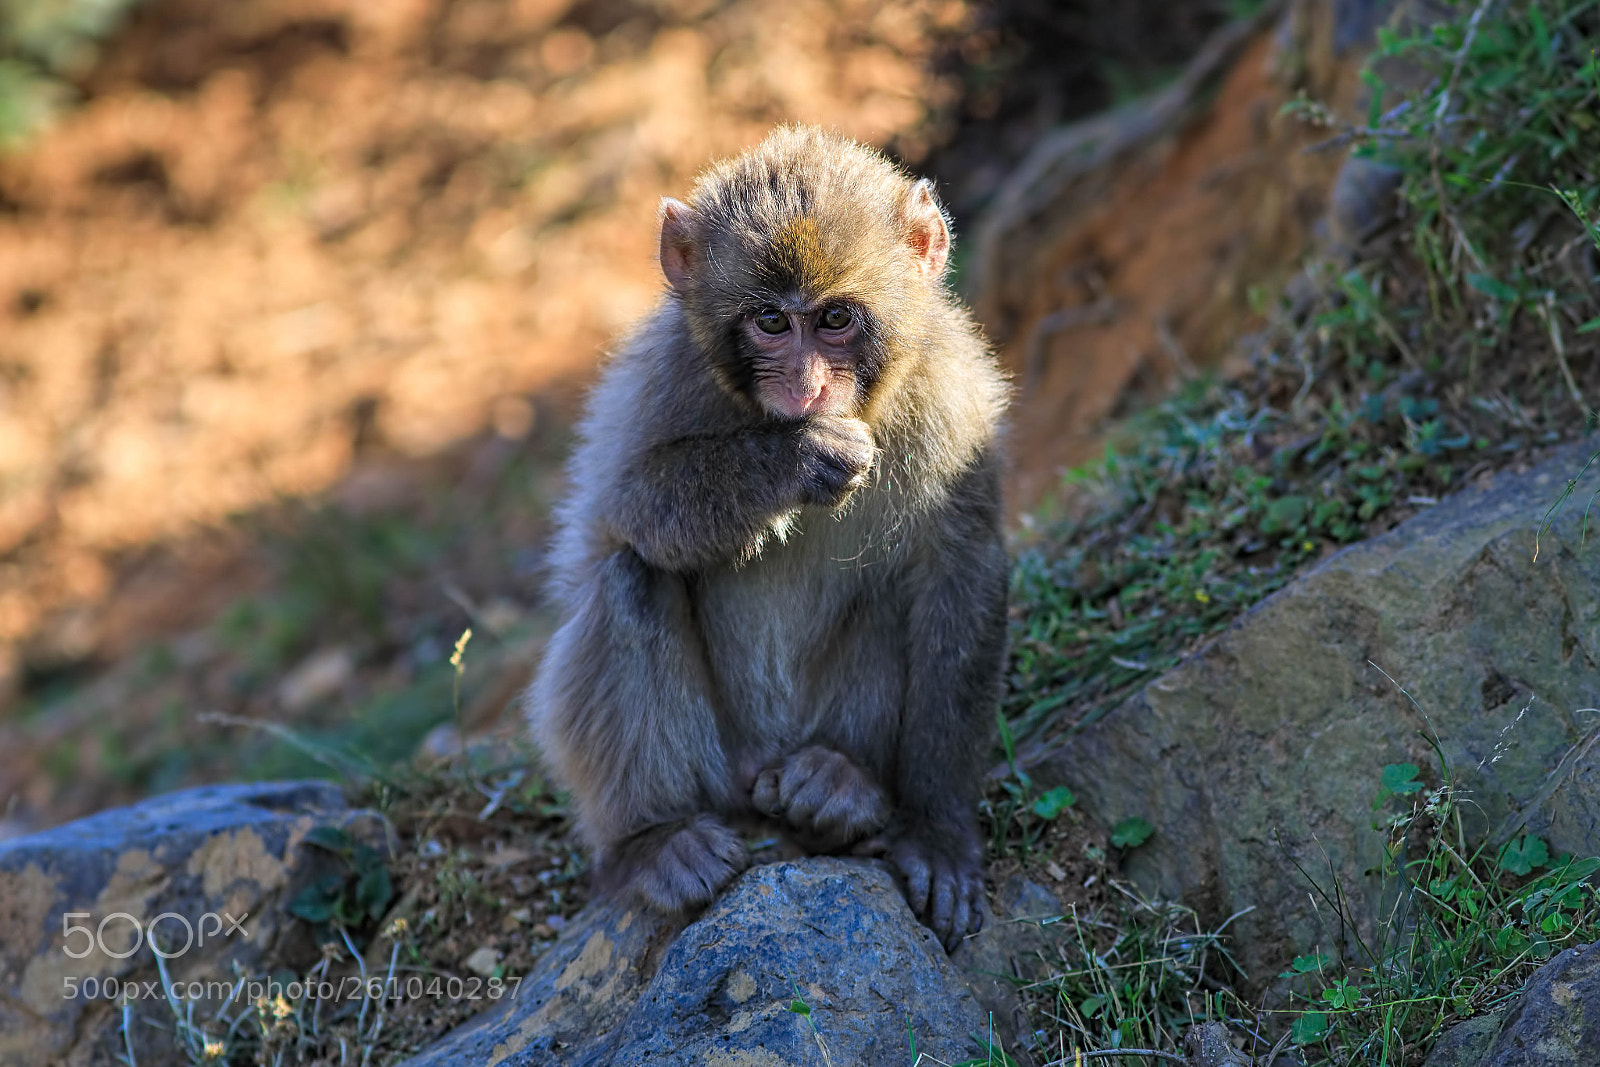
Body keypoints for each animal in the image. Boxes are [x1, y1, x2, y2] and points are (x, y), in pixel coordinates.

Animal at [525, 126, 1010, 951]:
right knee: (629, 576)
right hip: (720, 764)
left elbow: (962, 568)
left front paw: (937, 829)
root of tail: (762, 767)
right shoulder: (667, 372)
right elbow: (627, 507)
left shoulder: (953, 397)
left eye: (835, 320)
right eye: (772, 323)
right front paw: (794, 460)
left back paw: (843, 788)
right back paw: (652, 841)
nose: (805, 386)